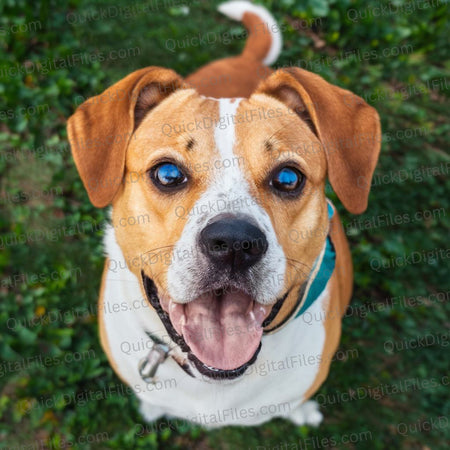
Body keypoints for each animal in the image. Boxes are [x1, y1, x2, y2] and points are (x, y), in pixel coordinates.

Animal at [68, 1, 382, 428]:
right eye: (168, 174)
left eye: (288, 178)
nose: (234, 242)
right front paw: (152, 406)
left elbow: (296, 399)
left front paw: (303, 412)